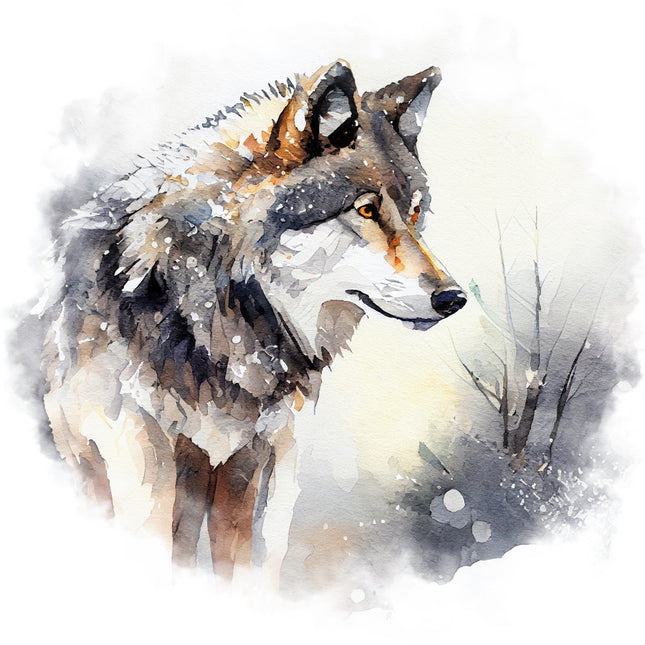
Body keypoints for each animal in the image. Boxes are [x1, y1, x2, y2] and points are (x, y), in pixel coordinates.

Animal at [38, 60, 466, 582]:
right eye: (366, 210)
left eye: (415, 212)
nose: (454, 298)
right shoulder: (137, 448)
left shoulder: (256, 456)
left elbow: (244, 566)